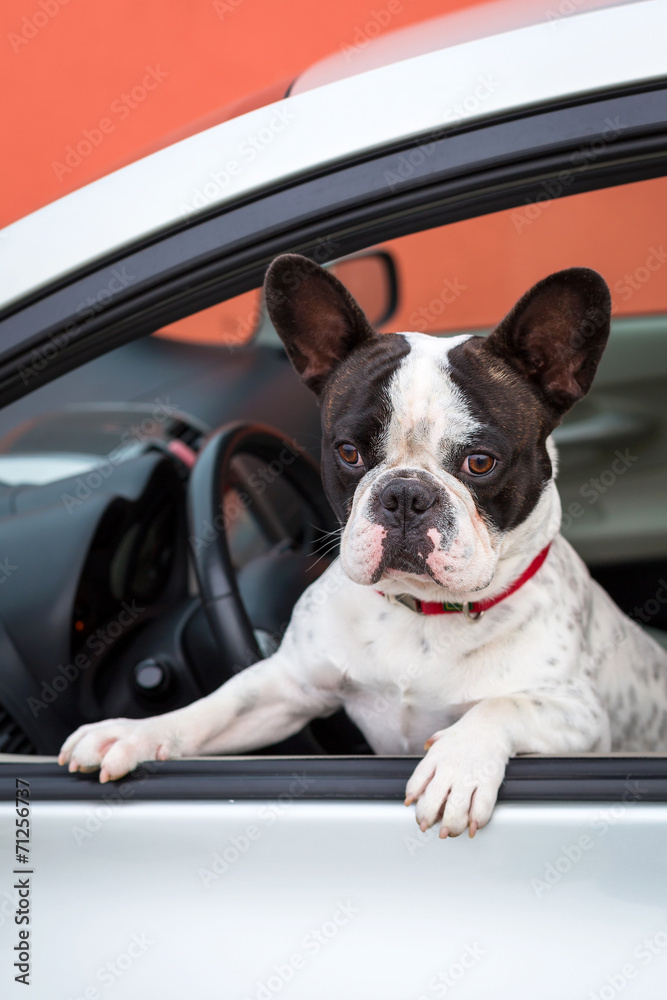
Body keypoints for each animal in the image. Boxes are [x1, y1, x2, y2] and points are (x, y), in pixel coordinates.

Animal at [56, 254, 667, 832]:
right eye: (348, 453)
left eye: (480, 462)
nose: (405, 495)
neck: (421, 612)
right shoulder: (288, 686)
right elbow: (217, 706)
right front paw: (132, 732)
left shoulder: (581, 717)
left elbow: (503, 703)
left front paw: (456, 765)